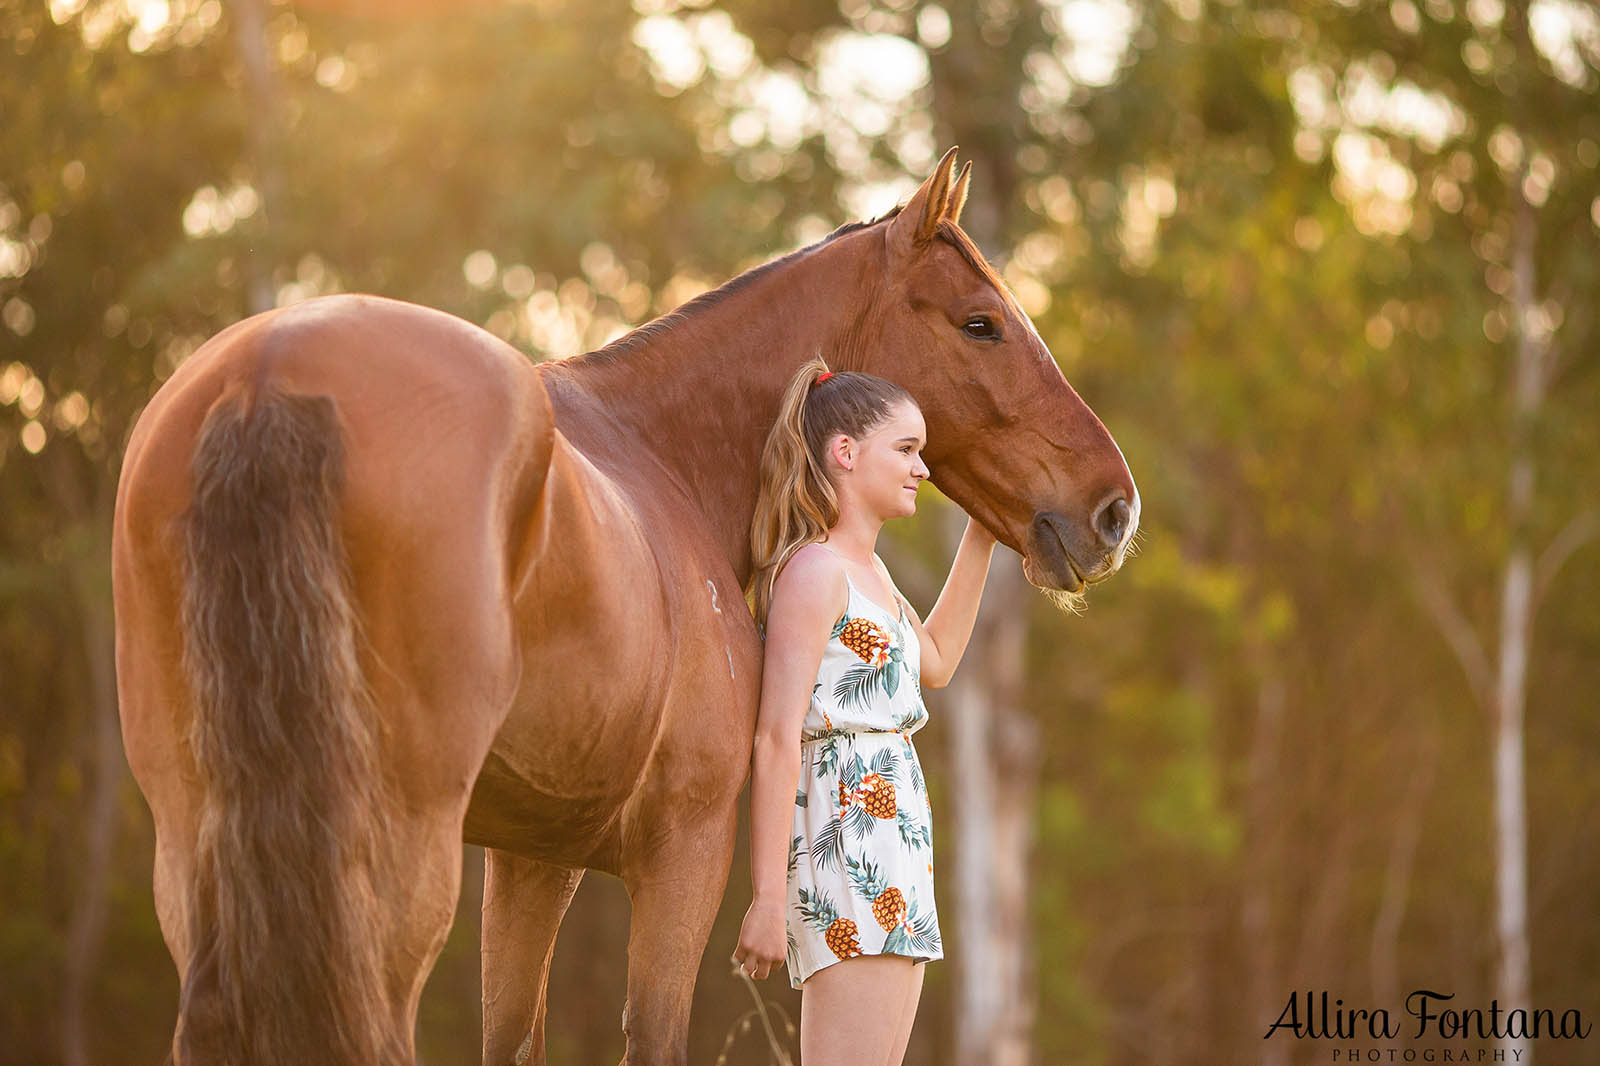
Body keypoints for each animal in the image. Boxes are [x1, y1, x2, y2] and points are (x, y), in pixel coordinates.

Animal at [112, 145, 1139, 1056]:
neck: (663, 455)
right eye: (981, 323)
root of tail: (271, 376)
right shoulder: (682, 852)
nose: (1113, 509)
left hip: (201, 840)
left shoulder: (532, 857)